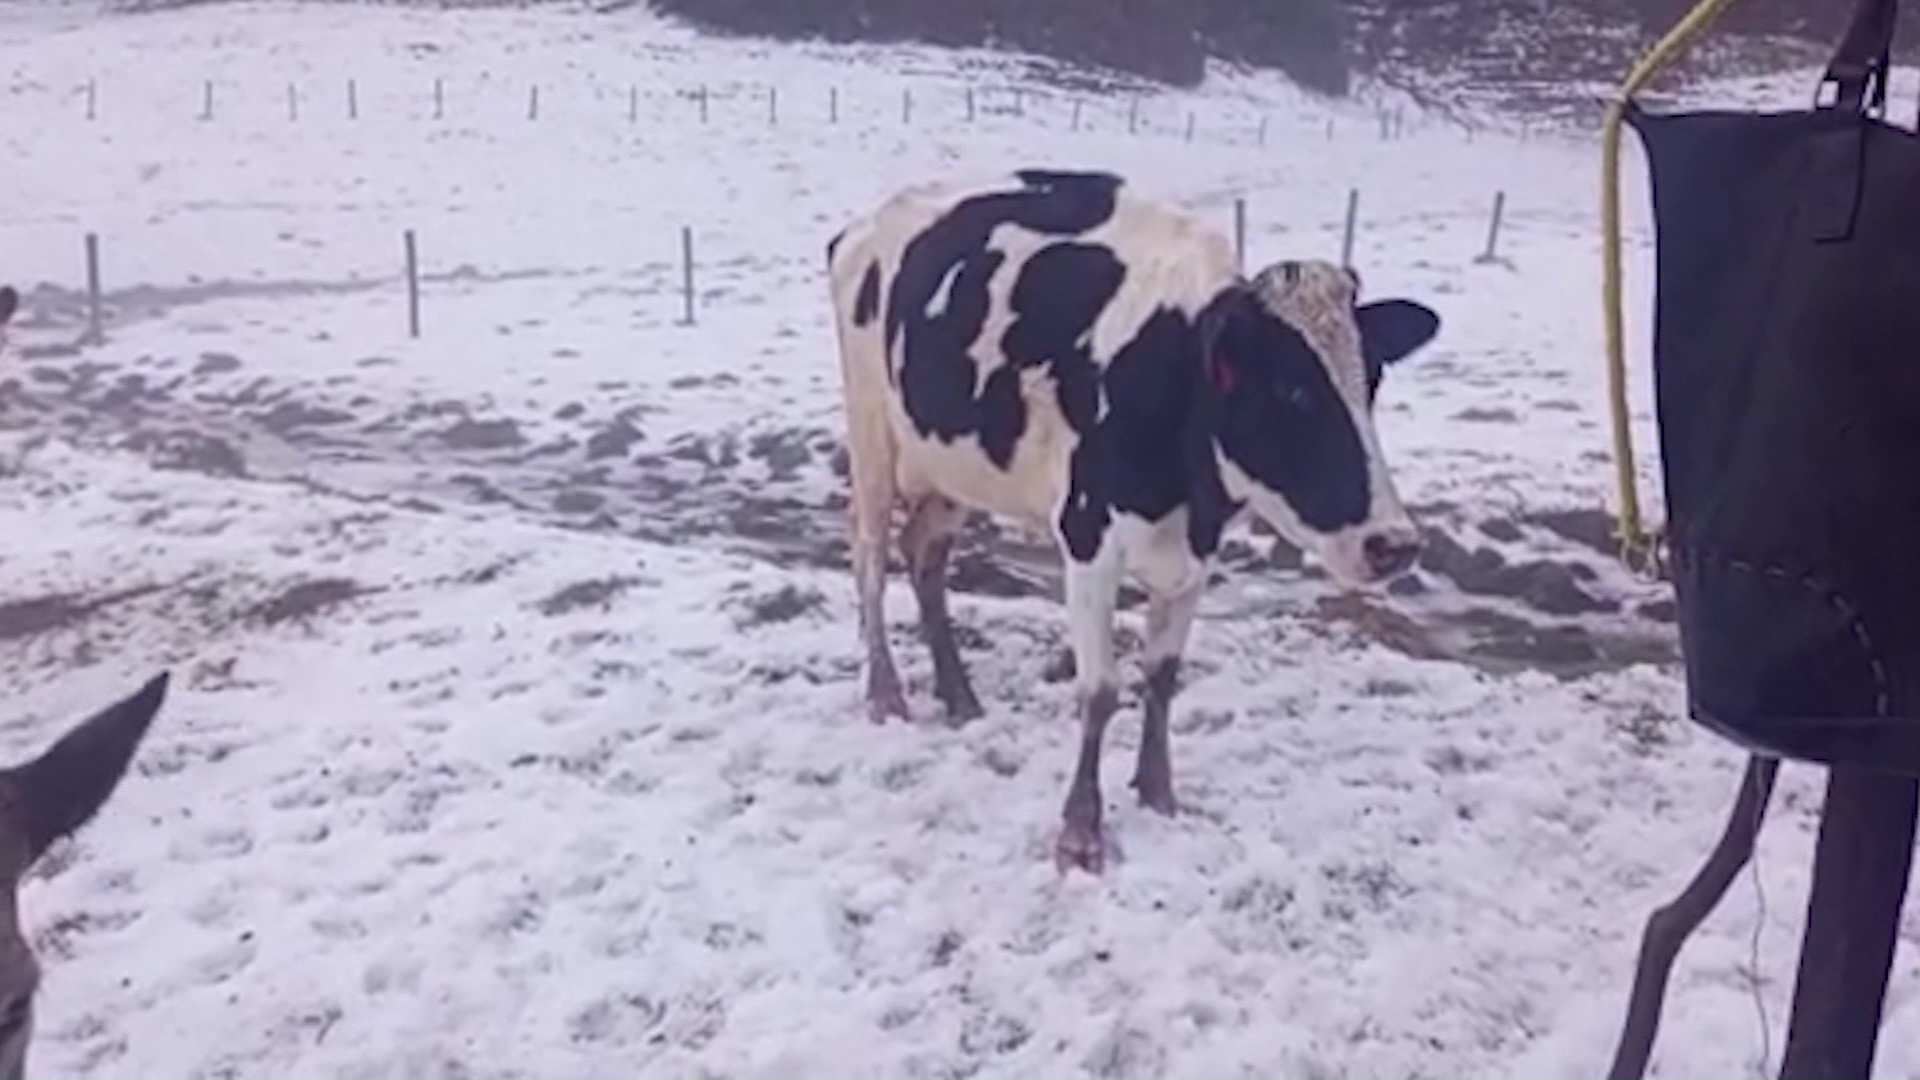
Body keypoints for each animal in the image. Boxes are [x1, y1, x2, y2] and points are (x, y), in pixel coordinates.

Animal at [825, 171, 1443, 868]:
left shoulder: (1197, 553)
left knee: (923, 554)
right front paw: (1081, 831)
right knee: (870, 557)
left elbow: (1163, 676)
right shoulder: (1088, 539)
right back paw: (885, 692)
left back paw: (958, 694)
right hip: (872, 433)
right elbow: (1100, 689)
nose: (1394, 544)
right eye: (1292, 390)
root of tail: (864, 224)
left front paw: (1158, 792)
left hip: (954, 460)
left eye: (1373, 380)